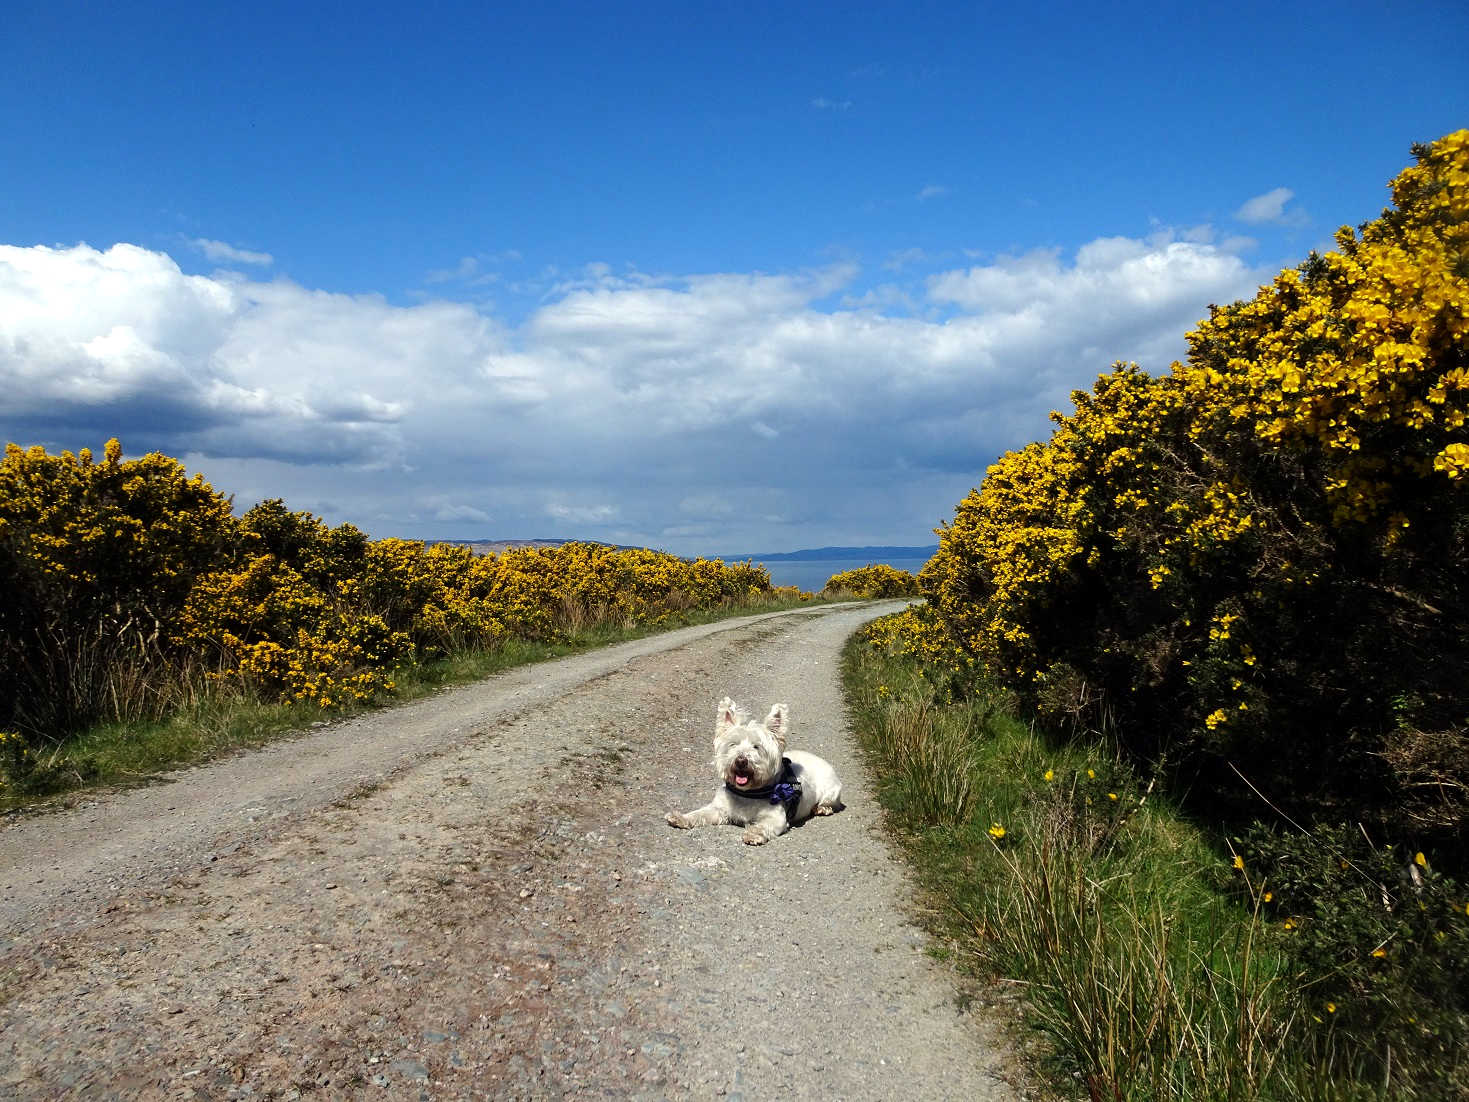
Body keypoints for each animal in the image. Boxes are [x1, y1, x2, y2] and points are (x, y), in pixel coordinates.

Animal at [669, 699, 846, 846]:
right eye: (733, 744)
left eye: (757, 747)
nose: (741, 760)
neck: (748, 793)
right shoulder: (718, 809)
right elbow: (699, 814)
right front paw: (680, 817)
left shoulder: (777, 818)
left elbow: (763, 826)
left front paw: (753, 834)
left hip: (830, 791)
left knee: (829, 803)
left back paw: (822, 808)